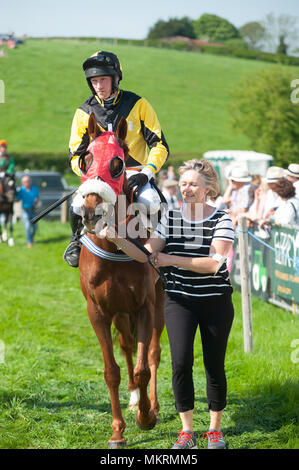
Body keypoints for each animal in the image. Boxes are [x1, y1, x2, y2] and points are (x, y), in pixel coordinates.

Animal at [76, 113, 165, 448]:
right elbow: (111, 370)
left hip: (158, 303)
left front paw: (146, 417)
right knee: (127, 347)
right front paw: (117, 430)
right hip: (120, 313)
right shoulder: (99, 311)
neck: (115, 246)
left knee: (153, 354)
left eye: (117, 164)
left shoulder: (145, 306)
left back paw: (152, 405)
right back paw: (133, 398)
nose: (90, 211)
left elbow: (143, 367)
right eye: (86, 159)